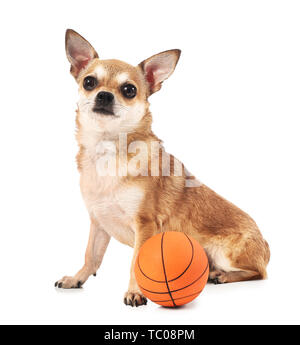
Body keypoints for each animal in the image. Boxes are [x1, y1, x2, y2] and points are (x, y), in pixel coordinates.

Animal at [55, 28, 270, 306]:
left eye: (129, 90)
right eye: (89, 82)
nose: (104, 95)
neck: (108, 148)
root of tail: (265, 243)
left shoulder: (145, 224)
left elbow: (135, 262)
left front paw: (135, 292)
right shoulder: (99, 223)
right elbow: (91, 256)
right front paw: (77, 278)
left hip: (227, 254)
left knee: (259, 273)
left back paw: (222, 275)